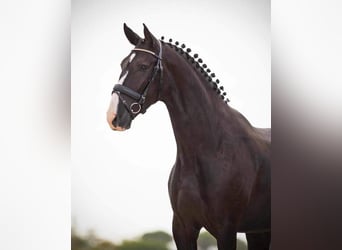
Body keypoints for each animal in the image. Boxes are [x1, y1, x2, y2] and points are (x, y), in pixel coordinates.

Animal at [107, 23, 270, 250]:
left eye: (143, 66)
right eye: (123, 64)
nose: (113, 116)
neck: (211, 149)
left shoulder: (226, 230)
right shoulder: (183, 228)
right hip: (257, 232)